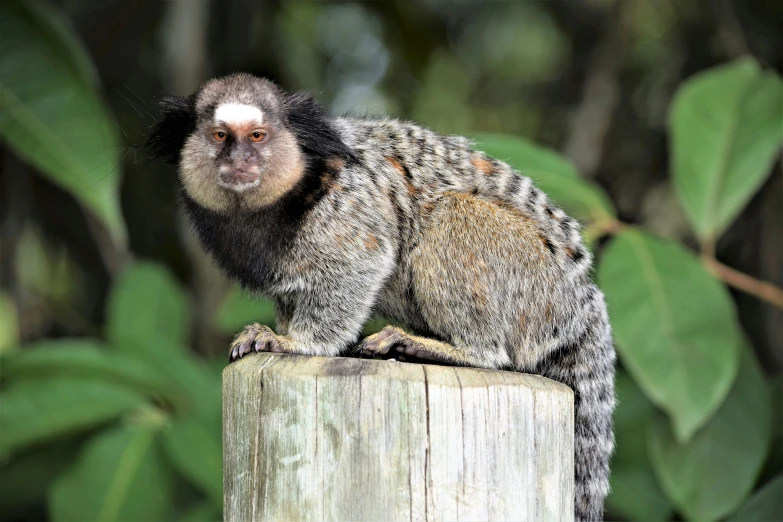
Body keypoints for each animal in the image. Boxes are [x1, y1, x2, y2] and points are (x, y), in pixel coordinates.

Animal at [144, 74, 616, 520]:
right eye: (220, 136)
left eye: (257, 136)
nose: (240, 159)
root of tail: (584, 299)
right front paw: (274, 332)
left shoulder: (346, 205)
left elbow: (362, 263)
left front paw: (297, 343)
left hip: (532, 280)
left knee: (454, 221)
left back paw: (453, 349)